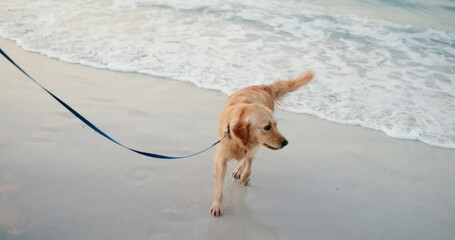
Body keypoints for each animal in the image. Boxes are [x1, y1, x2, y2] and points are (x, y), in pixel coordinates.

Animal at [210, 70, 314, 217]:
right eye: (267, 127)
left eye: (276, 125)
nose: (285, 142)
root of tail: (263, 86)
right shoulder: (220, 158)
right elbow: (219, 186)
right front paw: (217, 205)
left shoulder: (253, 148)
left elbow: (248, 165)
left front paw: (245, 177)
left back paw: (239, 171)